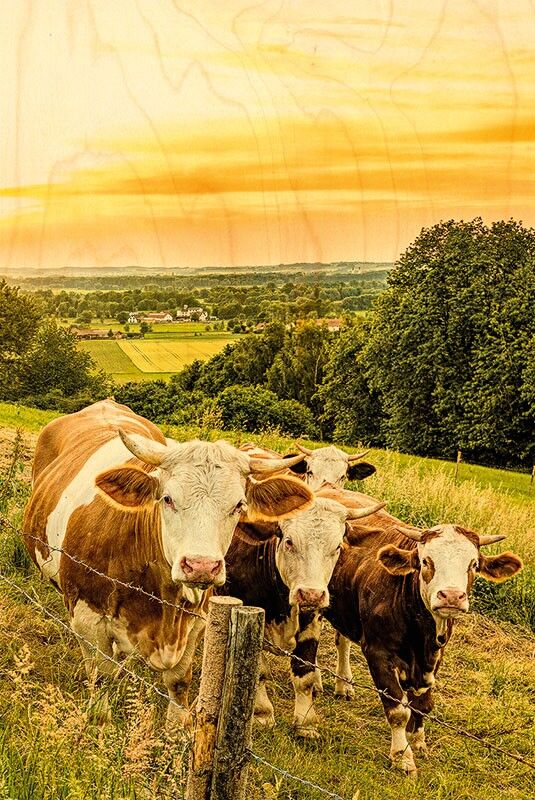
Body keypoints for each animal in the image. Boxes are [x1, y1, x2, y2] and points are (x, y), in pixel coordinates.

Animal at [23, 399, 315, 727]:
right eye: (167, 499)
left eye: (239, 505)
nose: (201, 566)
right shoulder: (86, 618)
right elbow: (101, 677)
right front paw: (100, 720)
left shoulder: (195, 623)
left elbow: (178, 681)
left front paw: (176, 727)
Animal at [218, 490, 385, 737]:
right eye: (289, 541)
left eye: (337, 546)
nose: (311, 594)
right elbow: (258, 671)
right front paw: (262, 713)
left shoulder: (311, 620)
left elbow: (304, 671)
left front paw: (306, 723)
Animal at [306, 486, 524, 774]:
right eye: (425, 561)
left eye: (474, 565)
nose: (451, 596)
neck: (421, 635)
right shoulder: (378, 653)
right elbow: (398, 709)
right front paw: (402, 756)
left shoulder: (434, 657)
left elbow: (422, 705)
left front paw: (418, 742)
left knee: (342, 641)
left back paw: (344, 685)